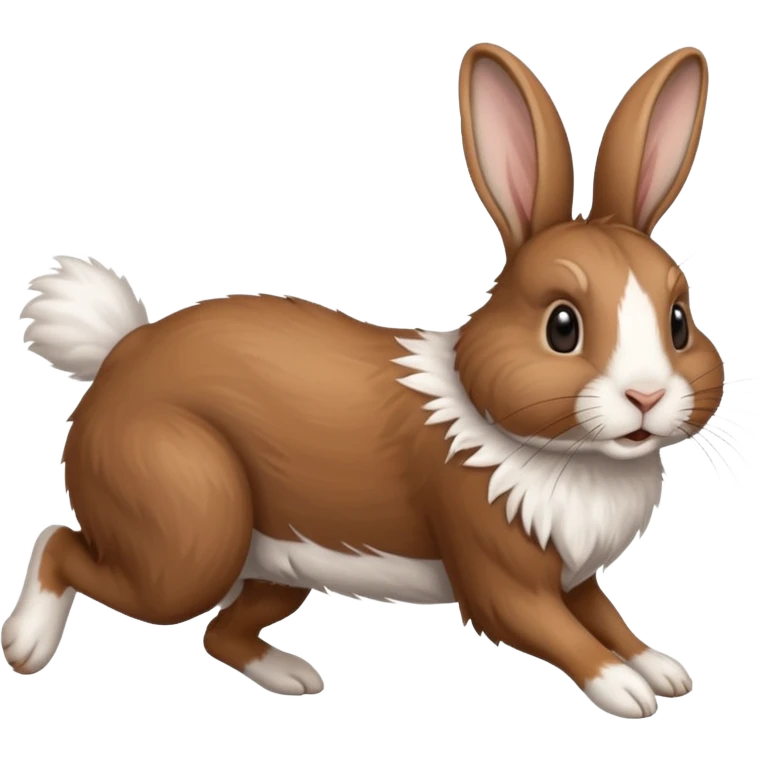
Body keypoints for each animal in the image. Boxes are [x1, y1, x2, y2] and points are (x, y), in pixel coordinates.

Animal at [3, 42, 718, 719]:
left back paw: (293, 678)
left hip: (275, 563)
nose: (647, 396)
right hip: (188, 533)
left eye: (679, 322)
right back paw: (24, 646)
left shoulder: (575, 578)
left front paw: (664, 671)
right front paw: (626, 691)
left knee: (219, 632)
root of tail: (119, 355)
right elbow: (562, 634)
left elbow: (606, 619)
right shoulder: (500, 573)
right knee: (61, 543)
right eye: (562, 327)